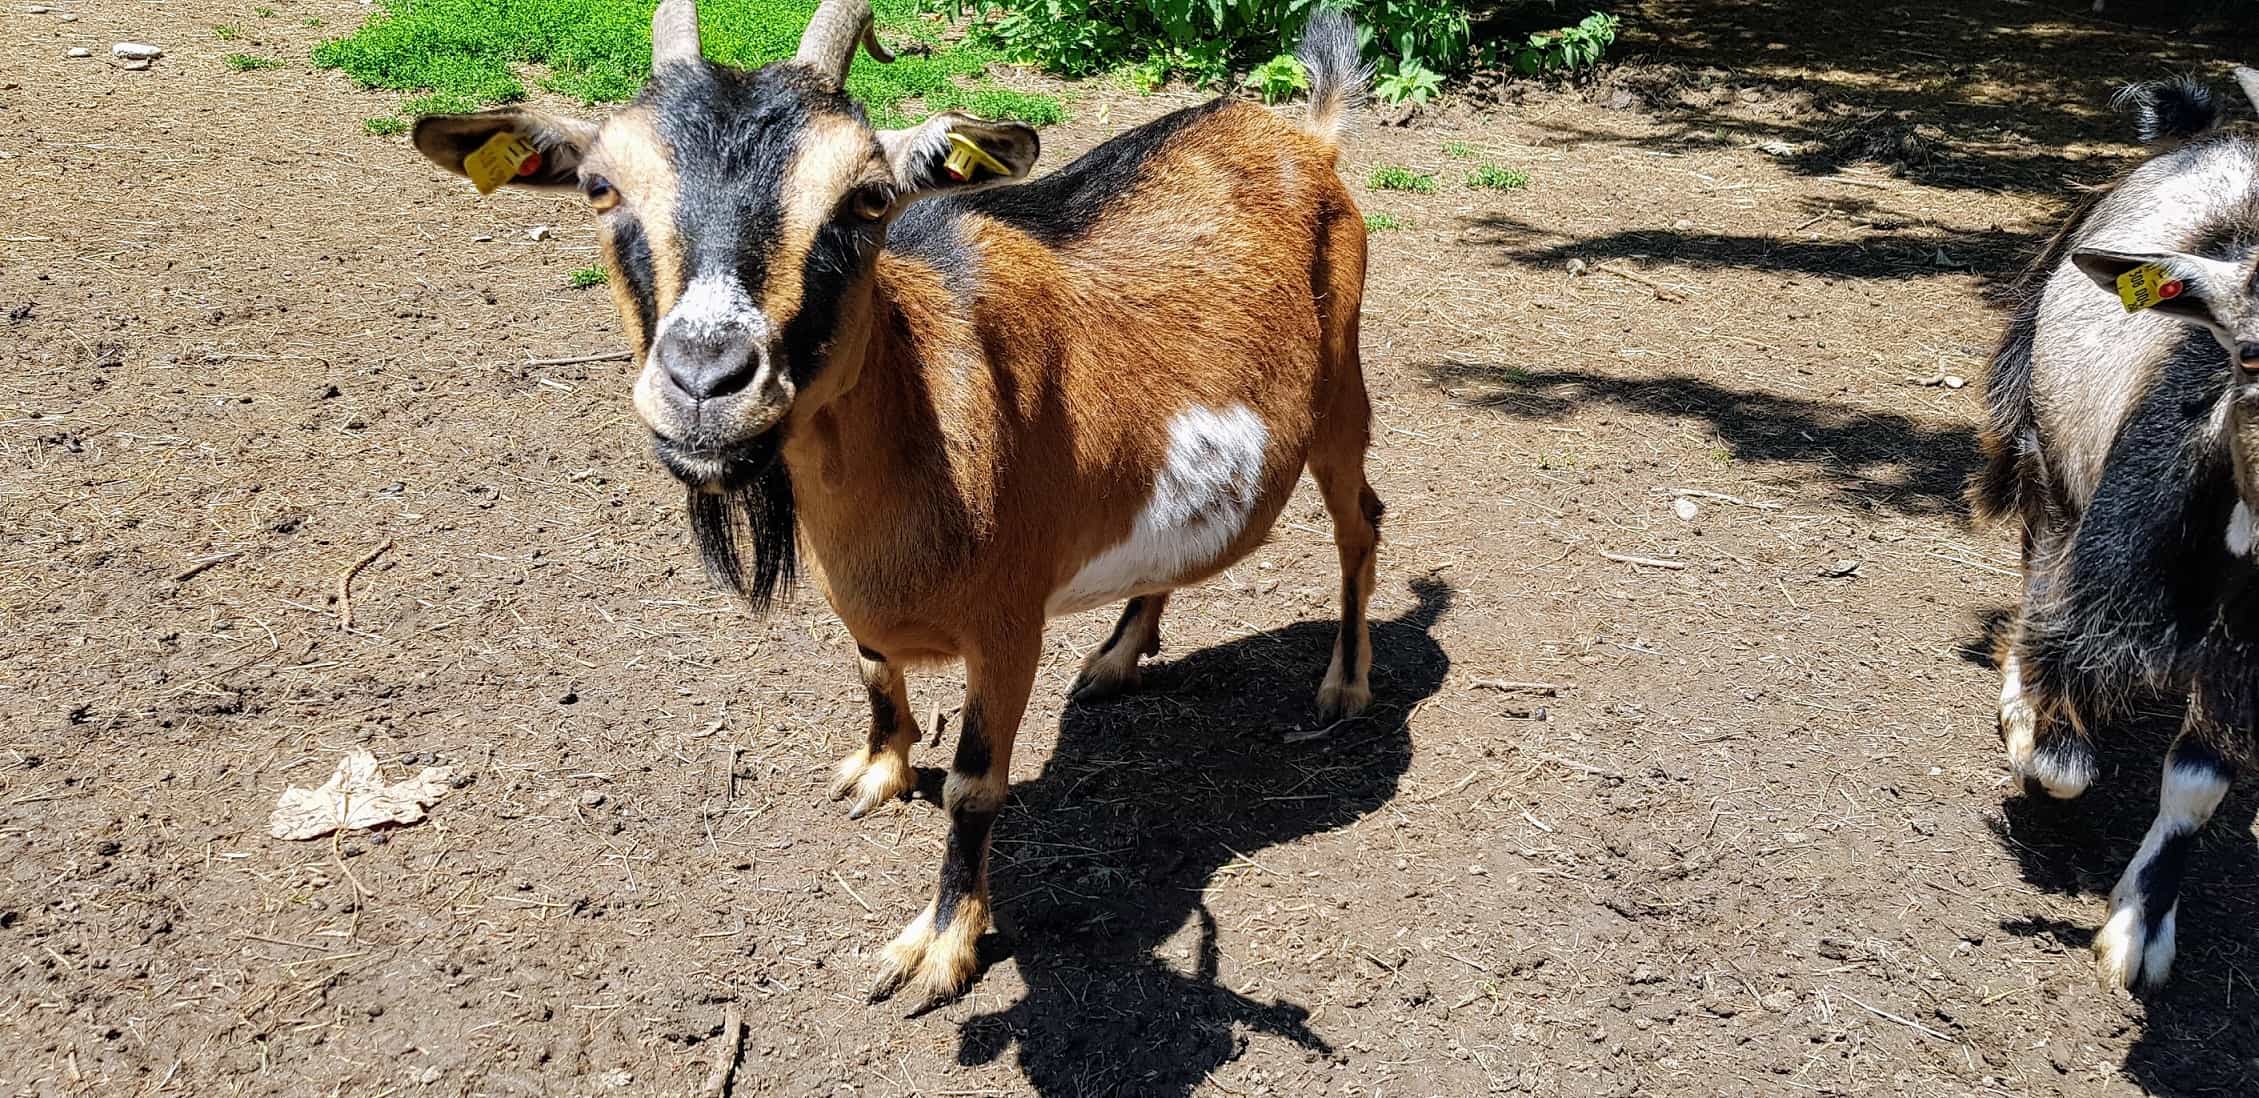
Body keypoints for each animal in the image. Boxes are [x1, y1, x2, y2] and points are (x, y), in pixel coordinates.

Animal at [415, 0, 1382, 1003]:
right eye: (600, 187)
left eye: (868, 198)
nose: (704, 381)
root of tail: (1306, 136)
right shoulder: (862, 601)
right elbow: (875, 672)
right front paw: (879, 770)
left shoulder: (1008, 624)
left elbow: (974, 785)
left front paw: (939, 945)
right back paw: (1117, 658)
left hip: (1342, 392)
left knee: (1362, 523)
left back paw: (1344, 684)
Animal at [1978, 68, 2259, 989]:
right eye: (2249, 356)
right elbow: (2061, 761)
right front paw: (2035, 734)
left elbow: (2199, 779)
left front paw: (2139, 928)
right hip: (2041, 437)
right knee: (2037, 558)